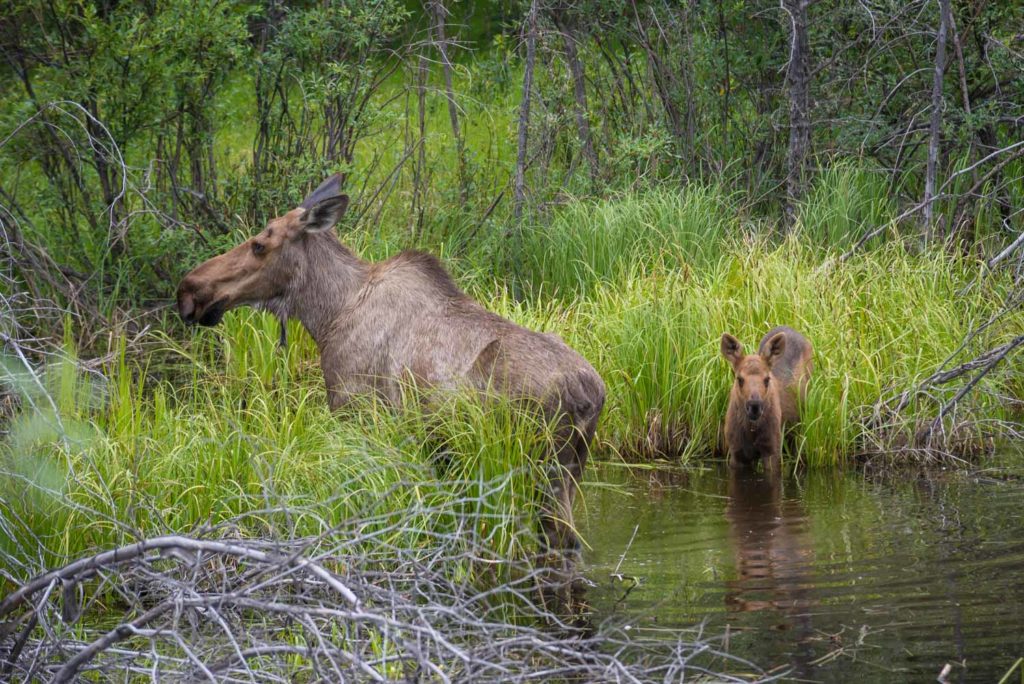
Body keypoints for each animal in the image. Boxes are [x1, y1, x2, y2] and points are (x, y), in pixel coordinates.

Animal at [179, 175, 602, 548]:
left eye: (259, 244)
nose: (188, 290)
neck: (327, 316)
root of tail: (592, 397)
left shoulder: (355, 409)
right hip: (572, 469)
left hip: (539, 465)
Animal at [720, 327, 815, 473]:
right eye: (739, 379)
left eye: (767, 379)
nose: (754, 406)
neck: (751, 430)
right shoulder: (736, 451)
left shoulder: (772, 448)